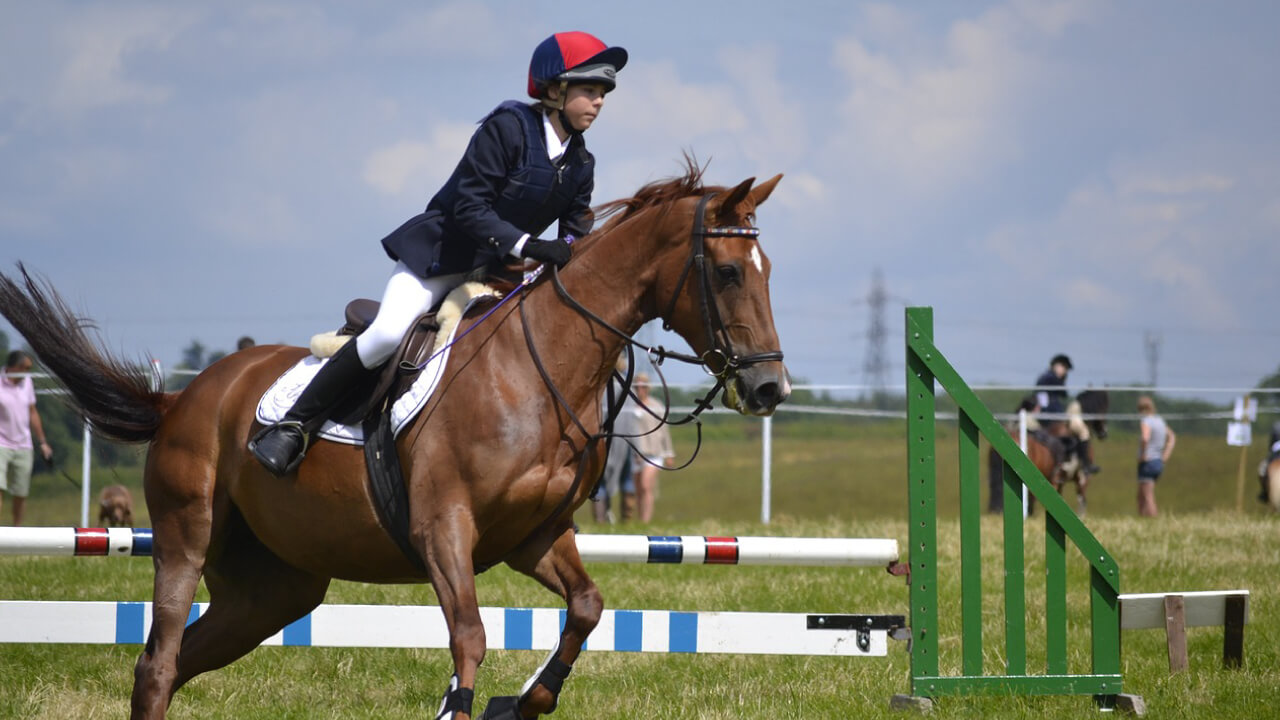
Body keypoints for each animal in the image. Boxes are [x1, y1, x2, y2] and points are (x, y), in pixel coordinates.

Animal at [0, 162, 790, 720]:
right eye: (726, 272)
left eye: (768, 272)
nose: (769, 389)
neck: (540, 367)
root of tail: (184, 397)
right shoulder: (443, 527)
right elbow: (470, 635)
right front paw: (465, 705)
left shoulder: (533, 536)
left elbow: (588, 609)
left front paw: (520, 702)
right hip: (186, 536)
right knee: (159, 662)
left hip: (272, 589)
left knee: (177, 665)